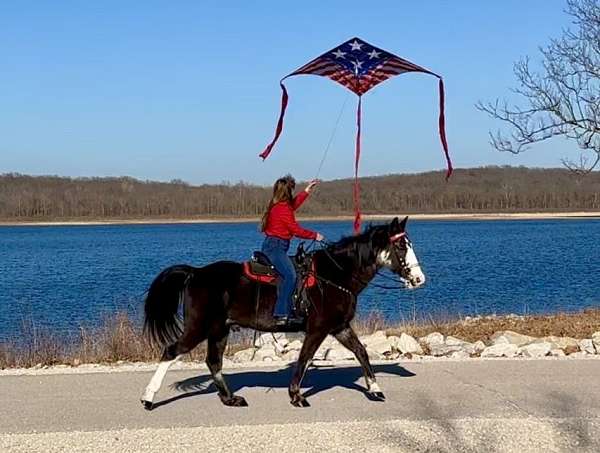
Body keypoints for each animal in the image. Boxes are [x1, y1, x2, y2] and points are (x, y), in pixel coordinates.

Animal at [140, 215, 424, 406]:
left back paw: (230, 398)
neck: (335, 276)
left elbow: (361, 352)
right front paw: (296, 395)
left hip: (220, 329)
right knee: (171, 352)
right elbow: (305, 358)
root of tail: (195, 273)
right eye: (401, 246)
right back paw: (148, 398)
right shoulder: (318, 328)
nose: (419, 279)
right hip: (199, 327)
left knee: (213, 361)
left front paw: (375, 389)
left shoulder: (340, 327)